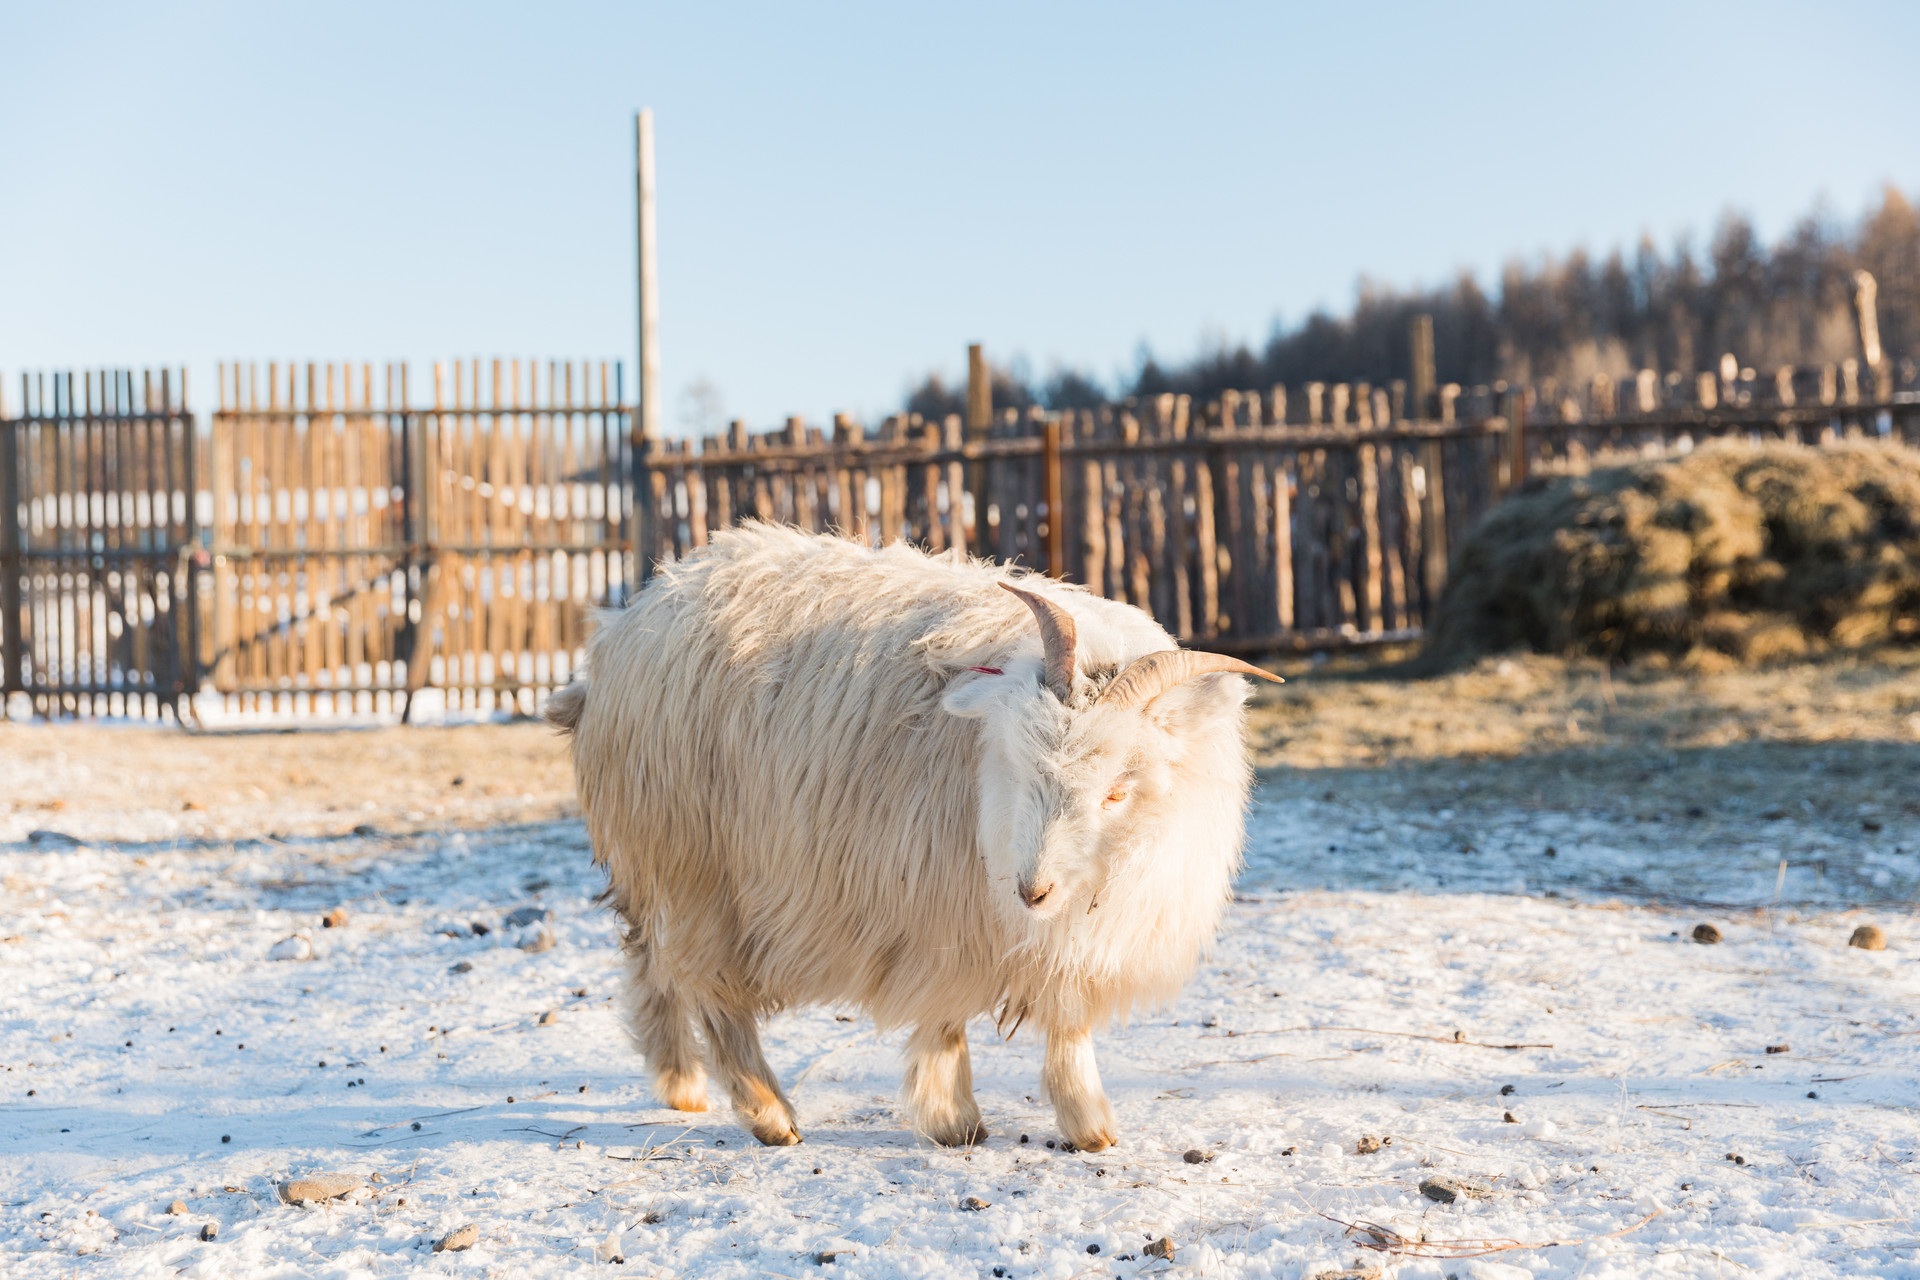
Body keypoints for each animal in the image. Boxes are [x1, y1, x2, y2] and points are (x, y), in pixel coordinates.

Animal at [549, 521, 1282, 1151]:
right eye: (1018, 761)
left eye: (1116, 792)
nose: (1032, 891)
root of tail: (625, 628)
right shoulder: (936, 906)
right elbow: (945, 1012)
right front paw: (956, 1117)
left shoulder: (1064, 936)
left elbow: (1066, 1017)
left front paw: (1084, 1125)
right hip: (698, 869)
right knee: (714, 991)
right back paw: (769, 1114)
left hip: (659, 864)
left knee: (650, 961)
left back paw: (681, 1083)